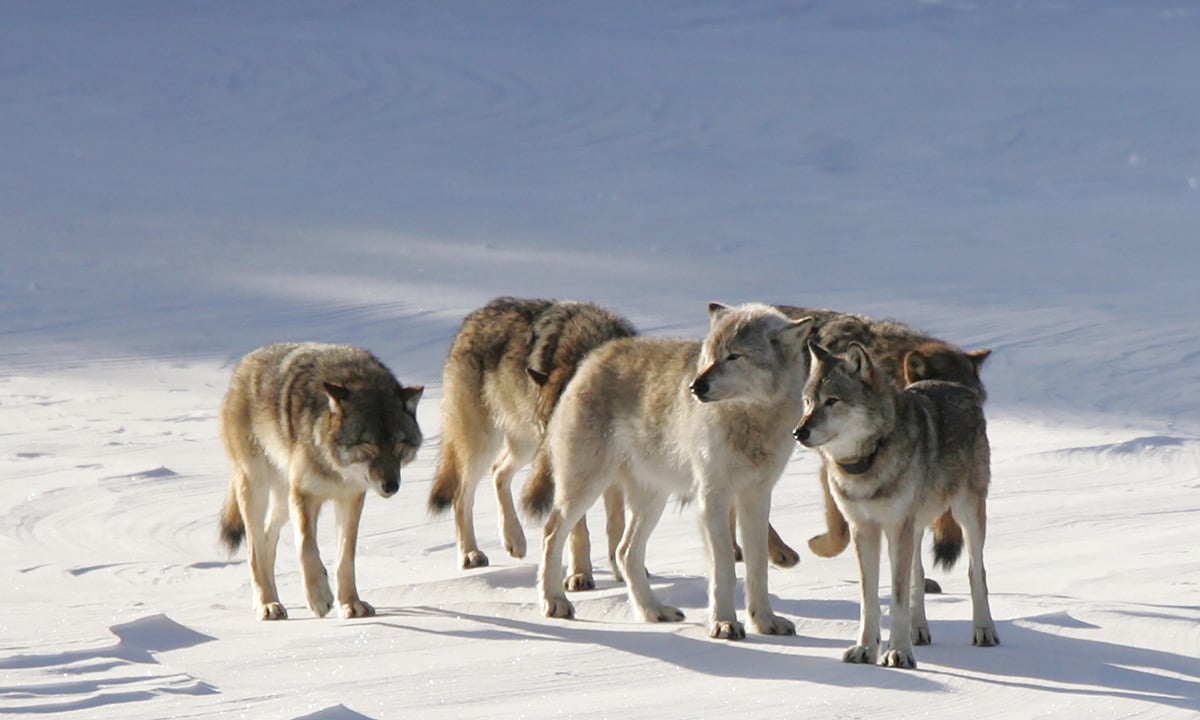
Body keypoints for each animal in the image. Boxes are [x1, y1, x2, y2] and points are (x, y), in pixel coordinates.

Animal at [222, 340, 427, 619]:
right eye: (368, 445)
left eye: (398, 447)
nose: (391, 486)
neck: (336, 469)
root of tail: (245, 363)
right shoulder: (304, 495)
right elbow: (306, 546)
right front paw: (319, 597)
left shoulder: (351, 498)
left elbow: (346, 557)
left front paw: (350, 603)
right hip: (257, 489)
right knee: (254, 550)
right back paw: (267, 604)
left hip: (282, 502)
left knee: (266, 540)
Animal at [432, 295, 638, 588]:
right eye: (549, 427)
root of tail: (472, 319)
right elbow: (579, 530)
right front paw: (579, 575)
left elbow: (616, 524)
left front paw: (623, 572)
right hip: (485, 444)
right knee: (462, 493)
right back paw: (471, 553)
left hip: (525, 446)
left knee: (498, 471)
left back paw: (514, 540)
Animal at [535, 303, 816, 643]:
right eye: (709, 356)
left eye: (734, 356)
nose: (696, 387)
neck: (750, 419)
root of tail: (594, 356)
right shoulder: (713, 498)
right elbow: (724, 567)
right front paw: (724, 624)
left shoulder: (757, 497)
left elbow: (757, 567)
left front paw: (765, 622)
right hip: (586, 487)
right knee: (551, 533)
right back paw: (554, 602)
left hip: (653, 499)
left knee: (625, 552)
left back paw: (653, 611)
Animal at [792, 340, 998, 667]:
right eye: (809, 401)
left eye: (832, 401)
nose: (798, 432)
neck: (868, 460)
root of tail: (957, 386)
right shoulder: (864, 530)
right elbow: (870, 599)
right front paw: (866, 649)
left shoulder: (896, 528)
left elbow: (898, 599)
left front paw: (898, 653)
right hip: (915, 527)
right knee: (919, 574)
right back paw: (919, 631)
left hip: (967, 514)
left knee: (976, 572)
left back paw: (984, 631)